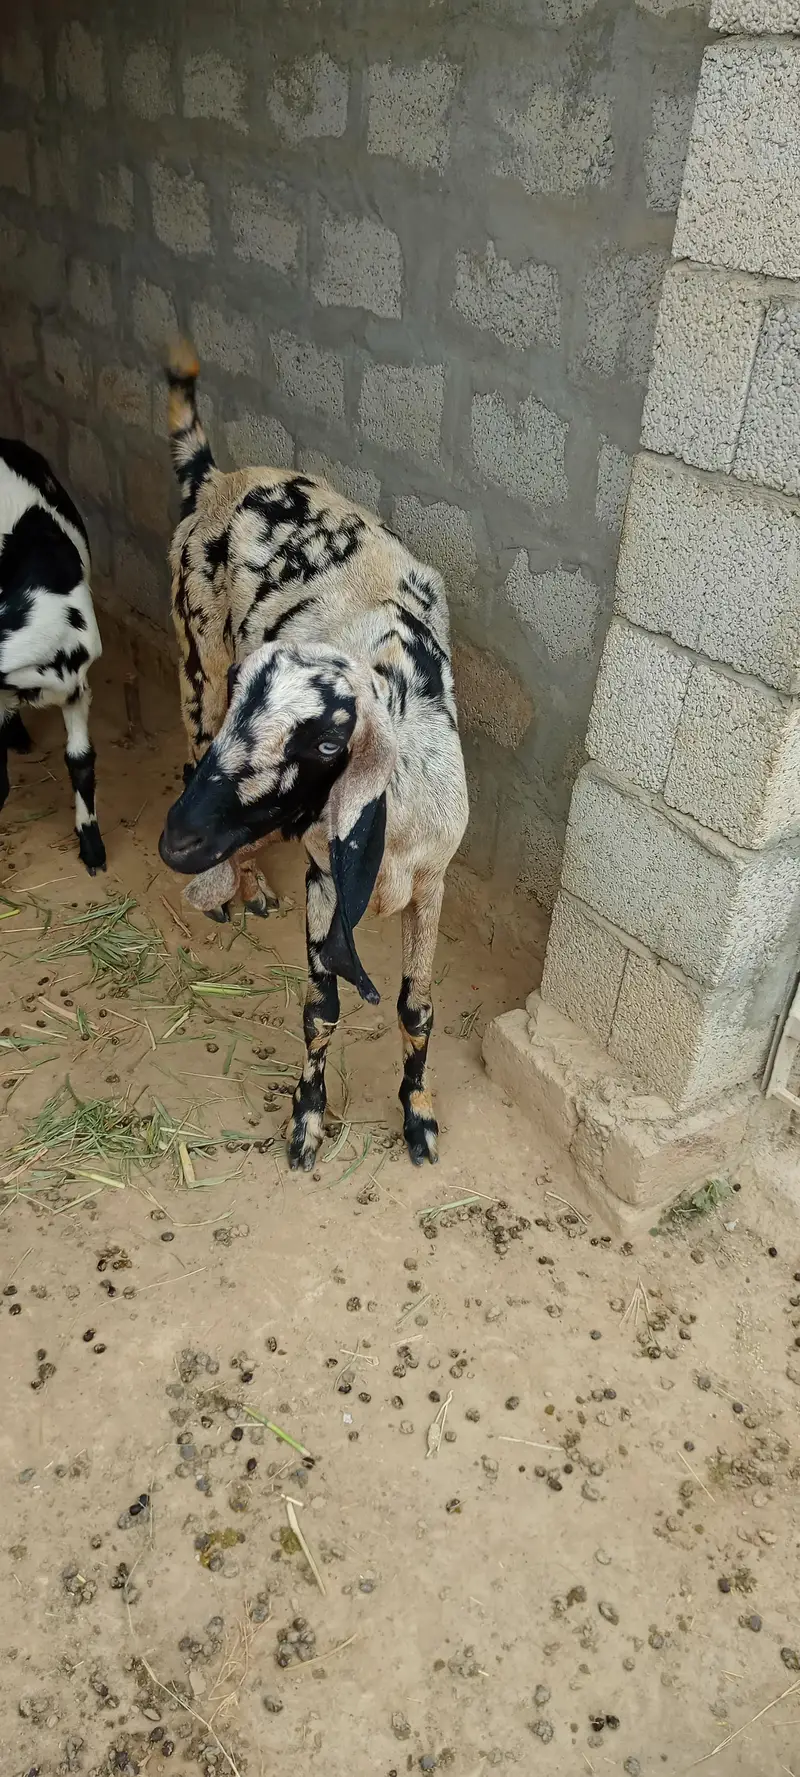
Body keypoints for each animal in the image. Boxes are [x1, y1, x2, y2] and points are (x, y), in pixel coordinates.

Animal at [158, 342, 468, 1169]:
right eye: (247, 703)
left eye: (328, 740)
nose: (176, 840)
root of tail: (217, 479)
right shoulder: (324, 879)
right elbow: (321, 1008)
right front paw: (306, 1123)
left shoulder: (434, 881)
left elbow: (418, 1007)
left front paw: (418, 1117)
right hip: (194, 655)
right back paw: (238, 885)